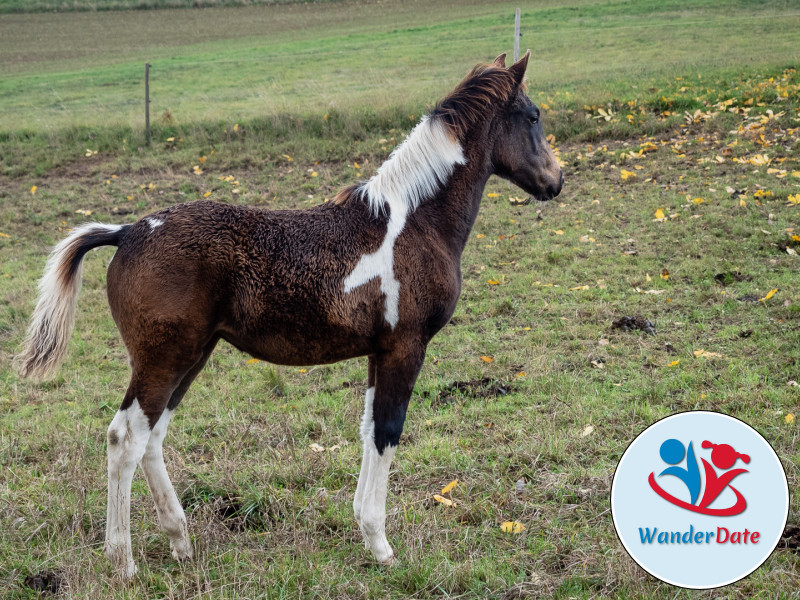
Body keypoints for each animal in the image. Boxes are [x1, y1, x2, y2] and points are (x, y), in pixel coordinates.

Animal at [14, 50, 564, 576]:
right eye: (533, 116)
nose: (556, 180)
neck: (413, 222)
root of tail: (127, 231)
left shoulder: (378, 352)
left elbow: (368, 429)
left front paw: (364, 530)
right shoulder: (405, 347)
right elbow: (387, 432)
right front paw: (381, 547)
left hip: (190, 355)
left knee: (151, 437)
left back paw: (181, 543)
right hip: (163, 359)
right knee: (125, 438)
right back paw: (123, 561)